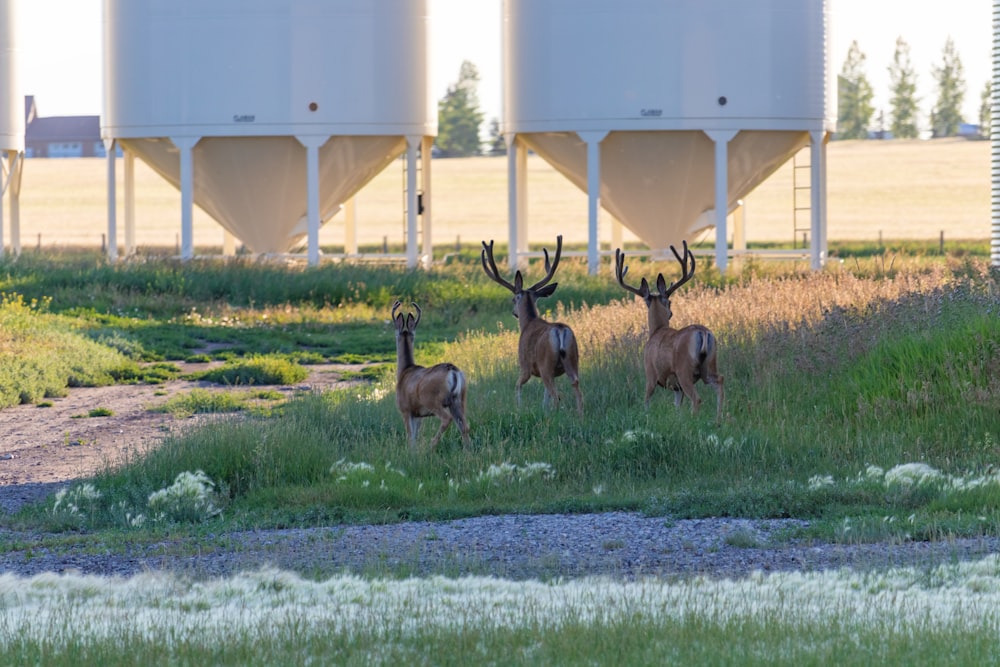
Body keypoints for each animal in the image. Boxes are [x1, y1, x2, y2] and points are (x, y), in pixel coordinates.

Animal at [388, 302, 470, 448]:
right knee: (464, 426)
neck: (404, 371)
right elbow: (415, 436)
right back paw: (468, 449)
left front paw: (411, 451)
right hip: (459, 399)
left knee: (446, 419)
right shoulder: (418, 414)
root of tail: (453, 371)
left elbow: (410, 437)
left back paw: (431, 445)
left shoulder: (406, 409)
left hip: (433, 400)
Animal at [480, 234, 584, 412]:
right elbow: (544, 397)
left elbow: (517, 386)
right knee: (576, 388)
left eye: (513, 299)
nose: (514, 313)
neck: (528, 323)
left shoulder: (525, 365)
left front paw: (518, 408)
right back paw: (579, 414)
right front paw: (542, 409)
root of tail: (560, 330)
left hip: (546, 364)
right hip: (573, 359)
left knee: (556, 395)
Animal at [612, 241, 724, 422]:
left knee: (697, 398)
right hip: (709, 364)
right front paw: (678, 420)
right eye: (670, 302)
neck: (657, 330)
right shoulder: (676, 387)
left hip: (684, 369)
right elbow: (677, 406)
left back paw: (696, 420)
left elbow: (646, 401)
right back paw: (718, 419)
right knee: (719, 380)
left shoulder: (650, 373)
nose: (671, 312)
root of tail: (703, 332)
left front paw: (646, 416)